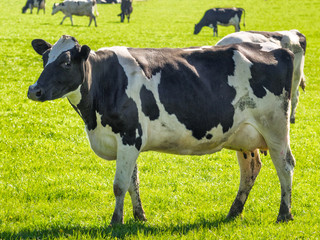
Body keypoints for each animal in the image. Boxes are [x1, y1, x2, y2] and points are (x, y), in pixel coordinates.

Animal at [28, 35, 296, 225]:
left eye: (65, 62)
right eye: (44, 59)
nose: (34, 90)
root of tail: (277, 48)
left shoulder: (129, 135)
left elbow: (119, 184)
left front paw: (116, 221)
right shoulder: (129, 142)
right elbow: (133, 182)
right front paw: (139, 217)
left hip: (275, 126)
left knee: (285, 166)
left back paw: (284, 214)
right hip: (244, 135)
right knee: (250, 169)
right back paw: (234, 212)